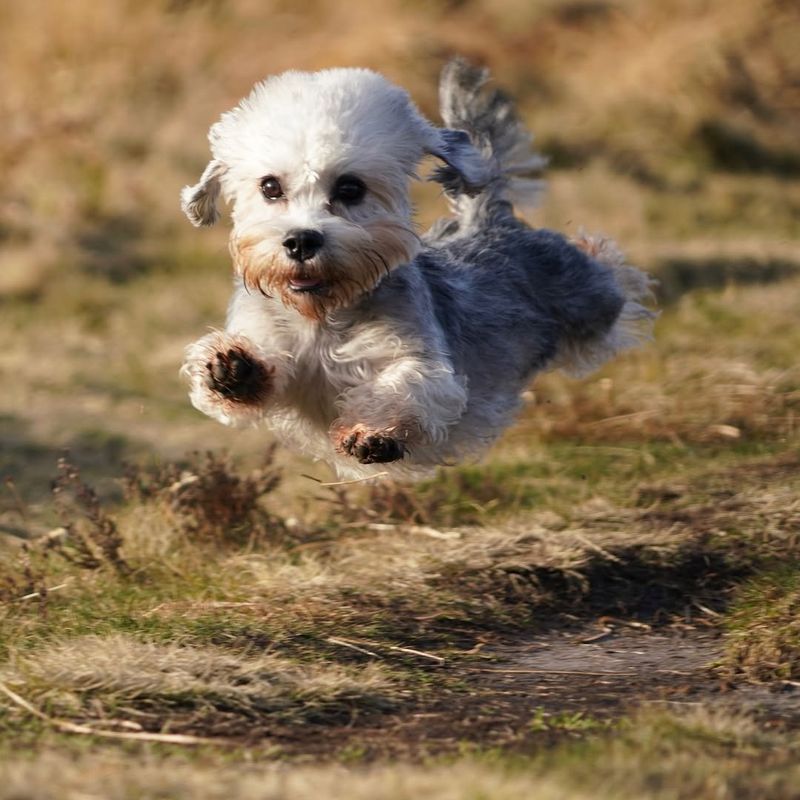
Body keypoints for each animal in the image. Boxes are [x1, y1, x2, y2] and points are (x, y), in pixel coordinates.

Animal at [181, 61, 656, 482]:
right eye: (270, 186)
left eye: (350, 188)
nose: (300, 241)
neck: (322, 318)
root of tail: (490, 221)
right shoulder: (273, 342)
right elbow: (254, 374)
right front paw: (233, 370)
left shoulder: (420, 361)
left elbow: (406, 385)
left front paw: (373, 433)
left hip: (588, 300)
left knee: (609, 273)